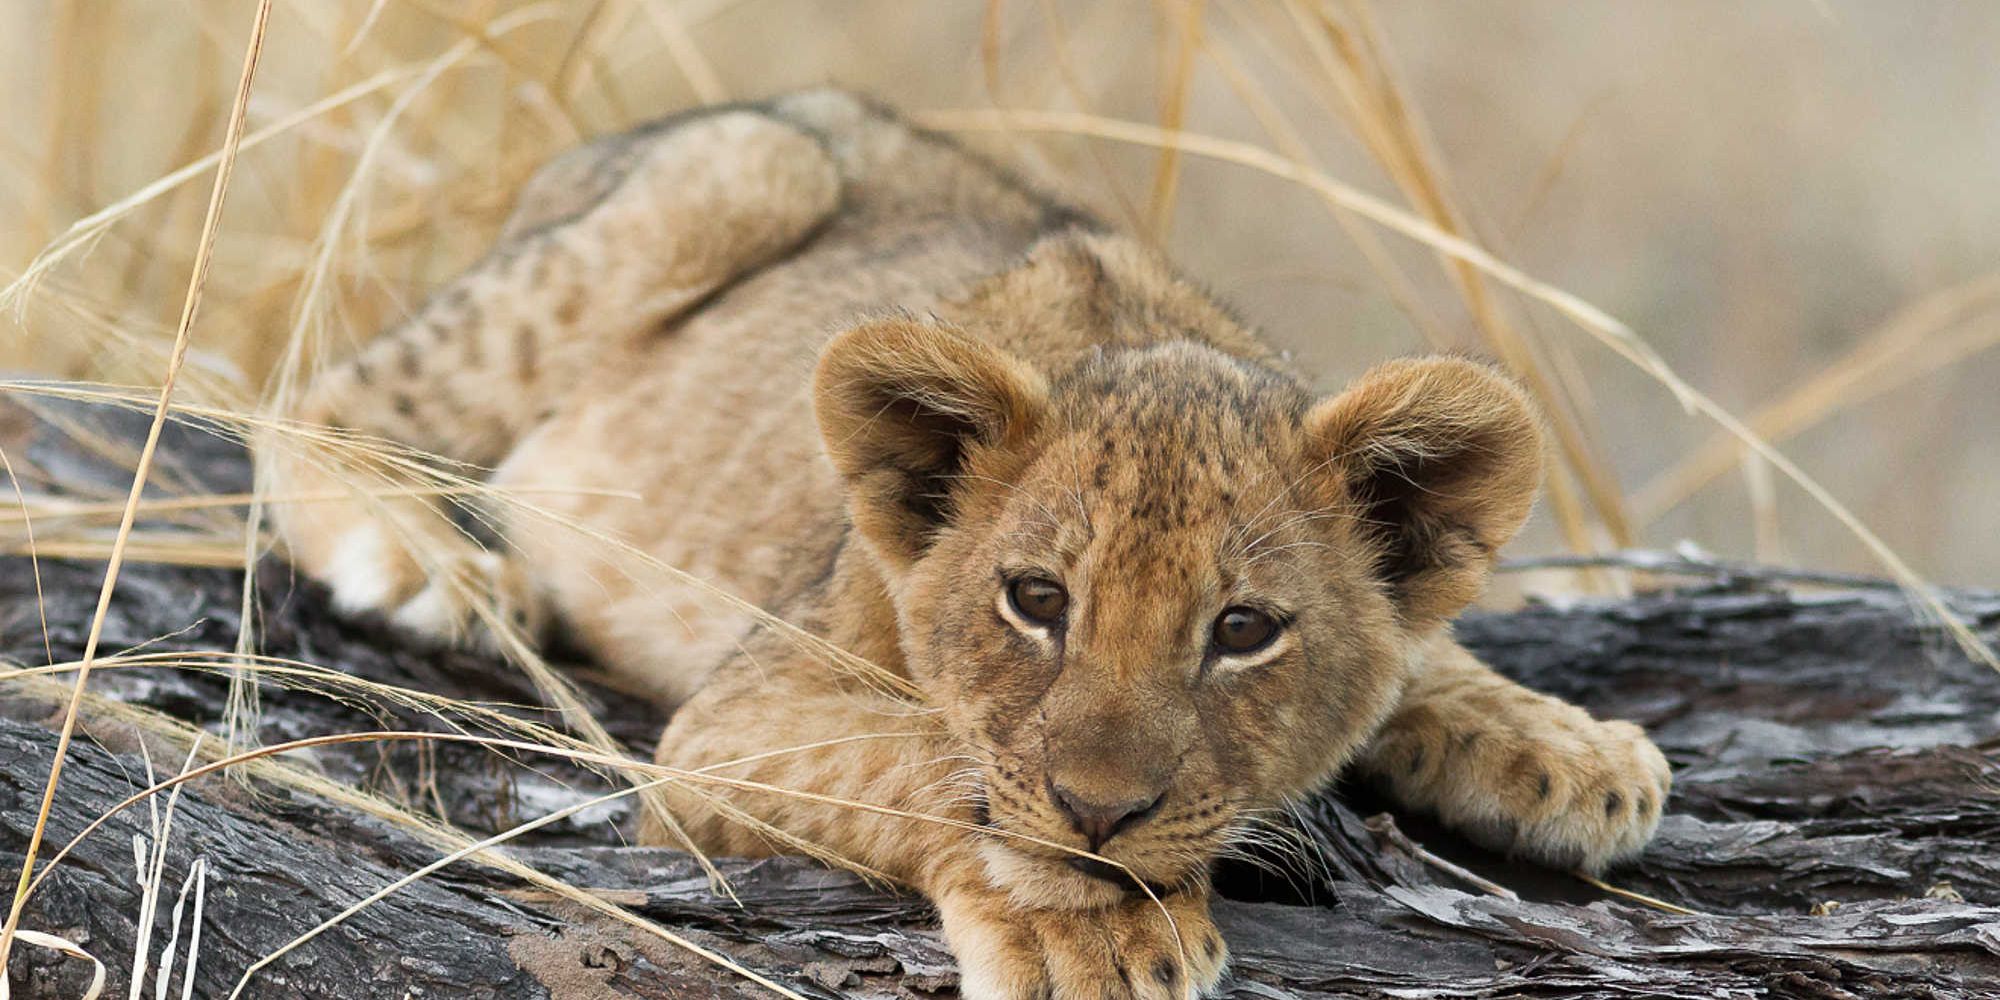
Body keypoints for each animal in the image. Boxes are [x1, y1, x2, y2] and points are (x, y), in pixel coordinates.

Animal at [260, 90, 1670, 999]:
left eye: (1242, 631)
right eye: (1034, 600)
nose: (1100, 815)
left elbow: (1427, 655)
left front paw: (1574, 752)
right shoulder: (724, 728)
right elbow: (925, 756)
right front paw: (1080, 930)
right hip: (743, 171)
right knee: (315, 390)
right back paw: (419, 558)